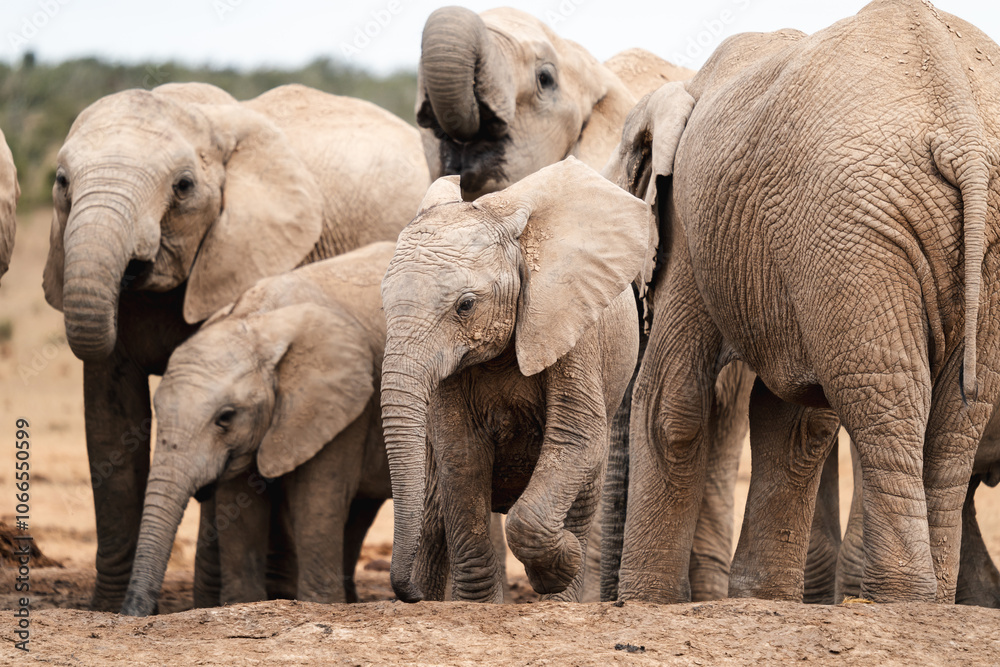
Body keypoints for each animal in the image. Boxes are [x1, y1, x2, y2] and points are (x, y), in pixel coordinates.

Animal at [121, 242, 395, 616]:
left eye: (225, 417)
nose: (131, 613)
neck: (257, 321)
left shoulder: (341, 409)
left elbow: (316, 504)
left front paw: (319, 606)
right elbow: (240, 512)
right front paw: (242, 604)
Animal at [380, 157, 648, 603]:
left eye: (466, 305)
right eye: (383, 305)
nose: (409, 593)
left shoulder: (569, 325)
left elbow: (575, 436)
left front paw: (563, 565)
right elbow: (462, 453)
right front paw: (475, 607)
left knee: (583, 495)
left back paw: (561, 595)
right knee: (433, 516)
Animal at [608, 0, 1000, 604]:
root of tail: (965, 132)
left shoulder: (691, 222)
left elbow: (672, 403)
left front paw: (647, 603)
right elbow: (795, 417)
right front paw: (759, 599)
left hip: (852, 222)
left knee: (883, 391)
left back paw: (897, 600)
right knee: (958, 410)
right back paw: (927, 601)